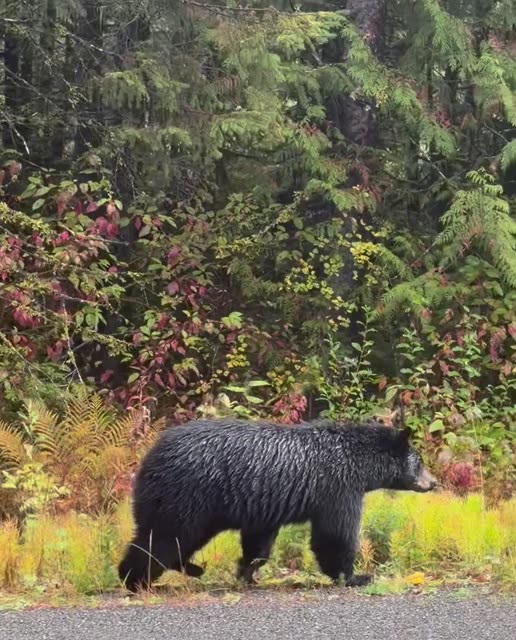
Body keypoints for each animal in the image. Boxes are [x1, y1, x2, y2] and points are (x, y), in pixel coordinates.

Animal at [118, 418, 436, 591]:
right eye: (419, 462)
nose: (433, 482)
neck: (358, 463)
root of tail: (151, 455)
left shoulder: (264, 505)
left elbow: (259, 542)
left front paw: (246, 572)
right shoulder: (338, 488)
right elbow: (334, 534)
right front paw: (355, 575)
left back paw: (191, 569)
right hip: (187, 495)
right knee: (163, 537)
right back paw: (134, 579)